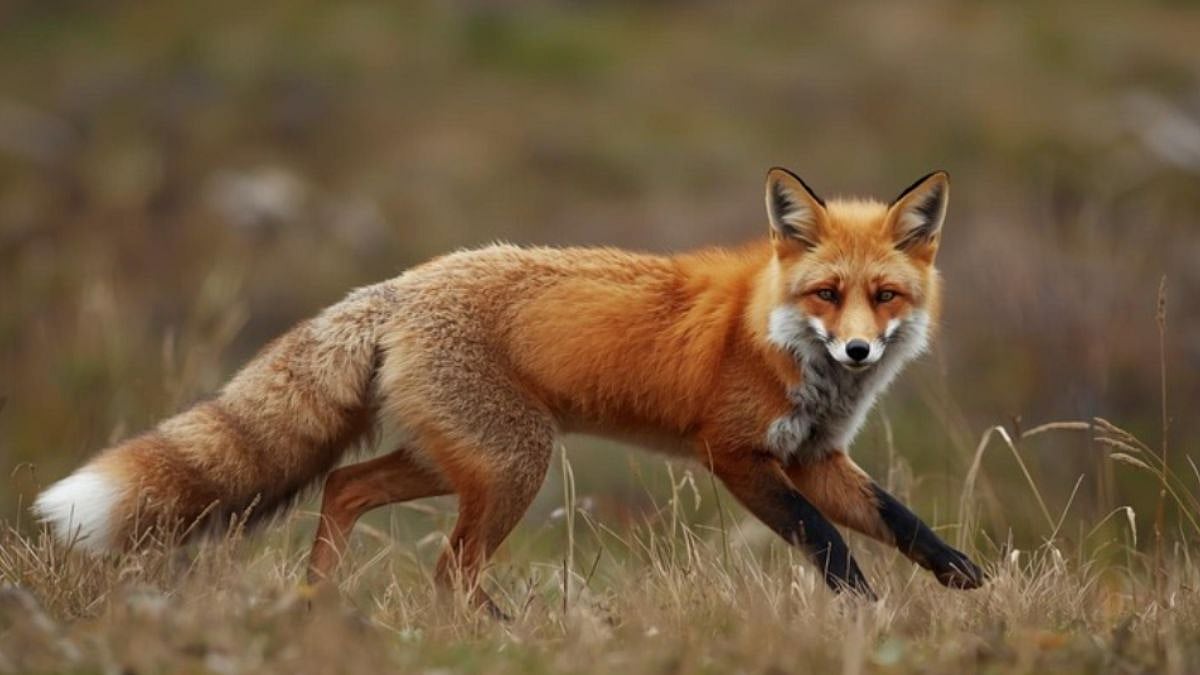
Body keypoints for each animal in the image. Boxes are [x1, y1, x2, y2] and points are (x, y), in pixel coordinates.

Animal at [33, 167, 984, 613]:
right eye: (827, 293)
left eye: (885, 296)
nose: (858, 349)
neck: (778, 334)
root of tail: (401, 283)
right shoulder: (736, 455)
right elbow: (828, 544)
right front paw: (868, 617)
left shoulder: (816, 455)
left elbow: (901, 522)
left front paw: (968, 585)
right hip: (513, 463)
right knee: (446, 572)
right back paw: (504, 631)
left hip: (458, 459)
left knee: (344, 486)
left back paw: (321, 604)